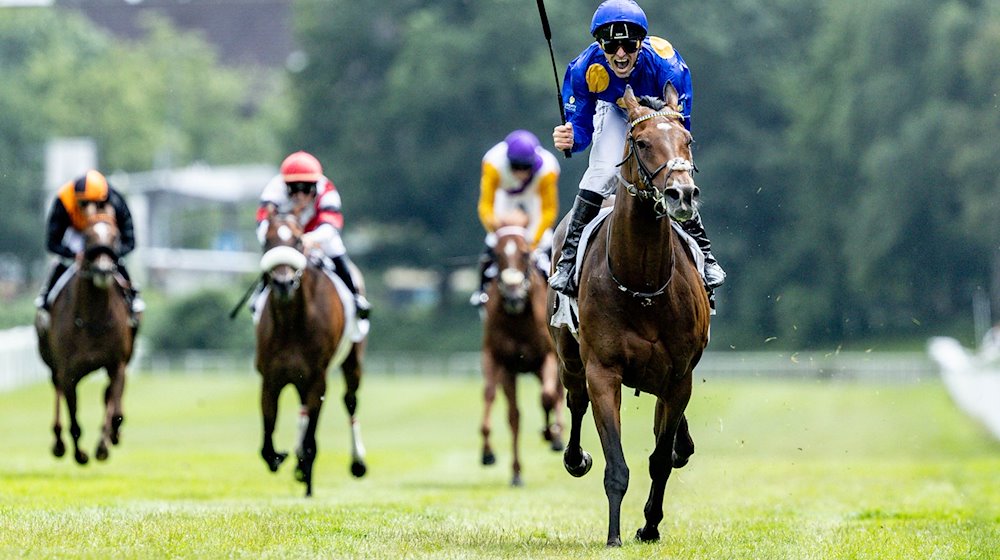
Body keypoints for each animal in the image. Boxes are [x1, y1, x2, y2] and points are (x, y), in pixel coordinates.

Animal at [35, 209, 138, 464]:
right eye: (88, 236)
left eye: (115, 236)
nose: (103, 270)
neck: (94, 320)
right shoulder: (68, 371)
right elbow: (73, 415)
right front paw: (80, 453)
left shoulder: (116, 364)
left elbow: (113, 407)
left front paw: (105, 443)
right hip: (53, 366)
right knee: (58, 392)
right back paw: (59, 442)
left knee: (109, 397)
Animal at [256, 212, 370, 496]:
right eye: (267, 240)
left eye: (298, 240)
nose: (283, 283)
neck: (292, 323)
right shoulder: (270, 378)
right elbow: (268, 437)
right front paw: (280, 457)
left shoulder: (318, 378)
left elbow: (311, 440)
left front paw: (306, 476)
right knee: (302, 411)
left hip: (353, 362)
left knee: (350, 402)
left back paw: (357, 462)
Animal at [482, 210, 568, 486]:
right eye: (496, 254)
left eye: (524, 254)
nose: (513, 295)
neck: (518, 318)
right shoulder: (503, 362)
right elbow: (511, 414)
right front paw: (510, 468)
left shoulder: (547, 357)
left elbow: (548, 397)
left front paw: (552, 434)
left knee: (555, 395)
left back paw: (555, 434)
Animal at [548, 85, 712, 544]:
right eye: (641, 142)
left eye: (687, 140)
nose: (682, 194)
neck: (642, 286)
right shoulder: (603, 371)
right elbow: (616, 465)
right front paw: (614, 536)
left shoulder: (678, 377)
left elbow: (660, 459)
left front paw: (650, 525)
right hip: (568, 356)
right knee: (575, 400)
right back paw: (575, 458)